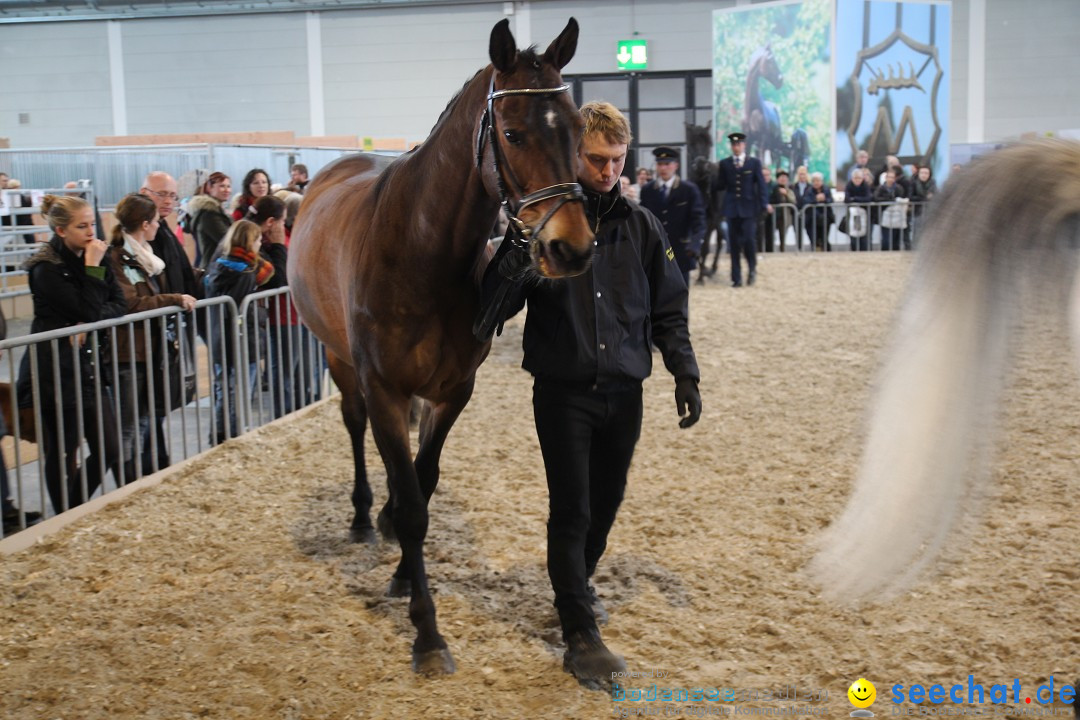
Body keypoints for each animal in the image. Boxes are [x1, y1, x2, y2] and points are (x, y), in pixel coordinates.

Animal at [287, 19, 591, 677]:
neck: (421, 248)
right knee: (354, 428)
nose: (571, 248)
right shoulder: (383, 387)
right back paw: (362, 514)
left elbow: (421, 486)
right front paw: (426, 633)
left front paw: (406, 577)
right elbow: (411, 506)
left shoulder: (452, 392)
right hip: (340, 361)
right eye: (512, 132)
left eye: (578, 130)